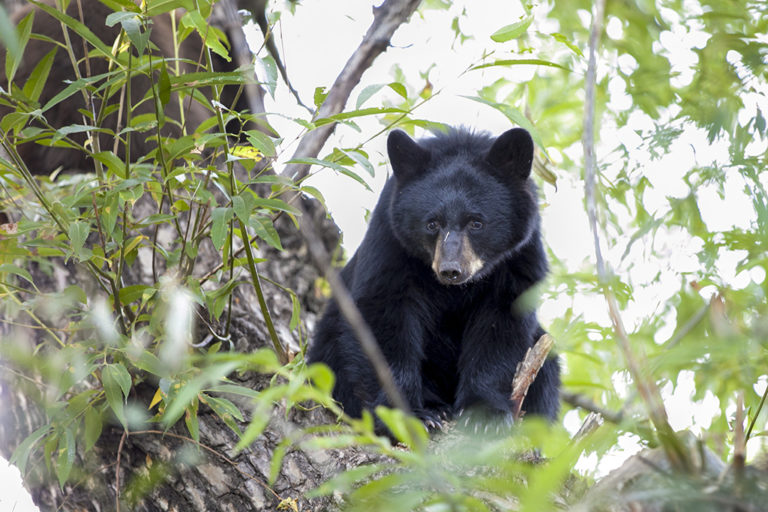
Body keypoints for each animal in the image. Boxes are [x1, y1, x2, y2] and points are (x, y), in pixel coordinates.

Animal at [308, 126, 560, 433]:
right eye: (432, 223)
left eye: (476, 223)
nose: (451, 270)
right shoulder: (390, 243)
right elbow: (382, 319)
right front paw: (410, 416)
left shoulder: (519, 258)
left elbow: (501, 326)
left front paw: (485, 415)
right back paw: (435, 408)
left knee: (547, 374)